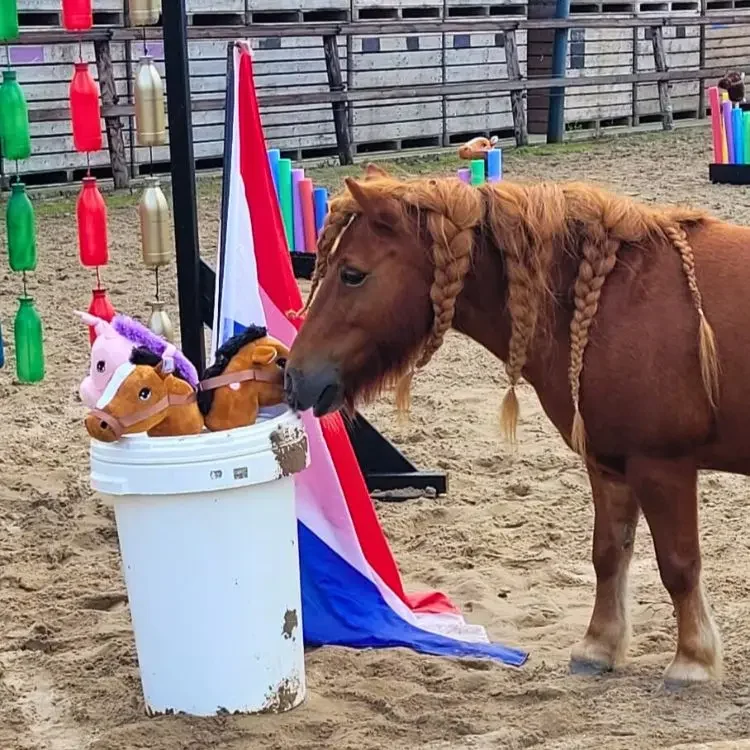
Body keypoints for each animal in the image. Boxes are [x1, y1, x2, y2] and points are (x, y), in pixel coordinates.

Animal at [283, 164, 750, 687]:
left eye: (352, 274)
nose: (294, 375)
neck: (613, 297)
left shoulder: (662, 465)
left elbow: (679, 565)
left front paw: (692, 661)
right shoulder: (609, 464)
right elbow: (609, 554)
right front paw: (598, 646)